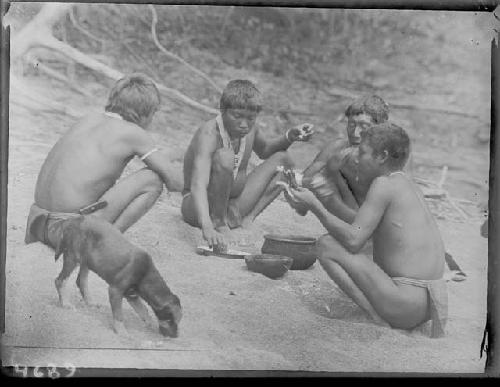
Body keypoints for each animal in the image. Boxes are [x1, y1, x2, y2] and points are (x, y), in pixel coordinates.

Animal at [53, 217, 182, 338]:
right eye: (171, 320)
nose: (175, 337)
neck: (145, 275)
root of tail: (74, 219)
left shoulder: (132, 295)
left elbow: (143, 310)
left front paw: (149, 322)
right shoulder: (115, 291)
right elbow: (119, 315)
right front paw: (122, 332)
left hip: (87, 260)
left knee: (81, 280)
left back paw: (90, 302)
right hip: (72, 257)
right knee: (60, 280)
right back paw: (65, 303)